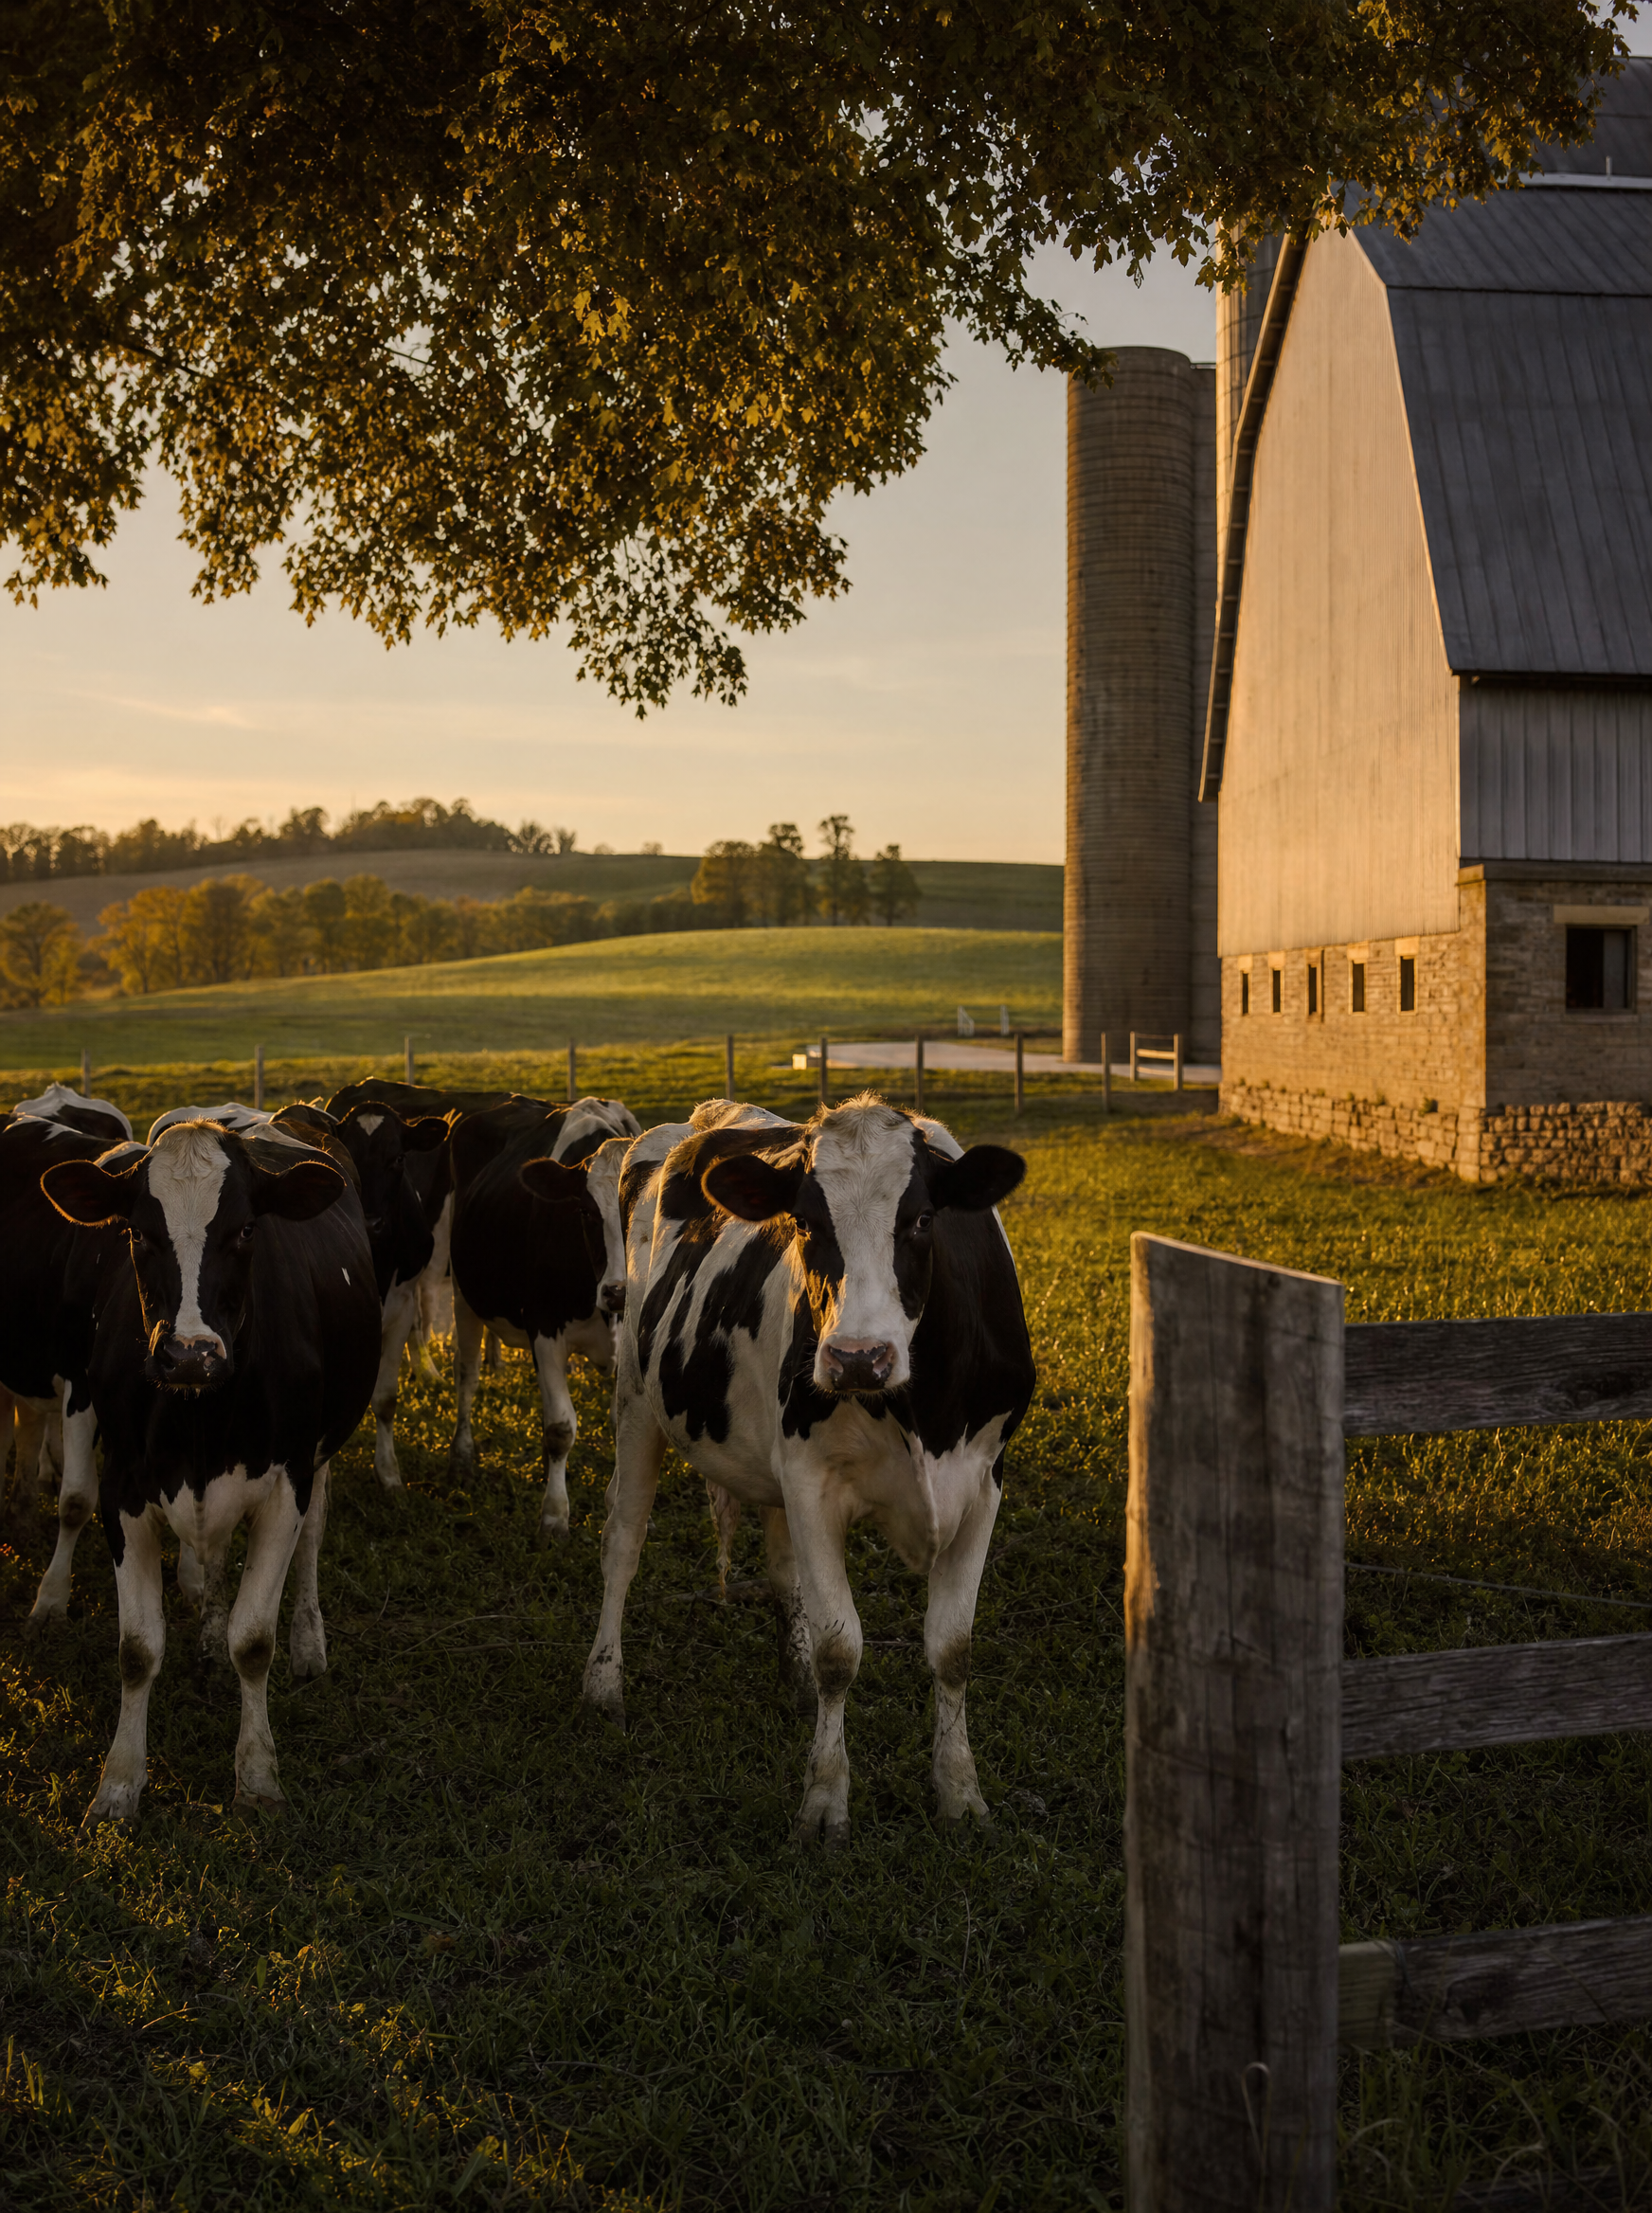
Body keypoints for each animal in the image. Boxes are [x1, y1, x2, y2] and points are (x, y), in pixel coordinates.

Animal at [41, 1117, 380, 1824]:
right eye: (137, 1232)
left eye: (247, 1229)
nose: (190, 1354)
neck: (199, 1417)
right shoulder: (123, 1488)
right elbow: (137, 1648)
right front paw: (119, 1782)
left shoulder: (287, 1481)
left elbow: (254, 1641)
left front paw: (257, 1774)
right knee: (216, 1555)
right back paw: (206, 1636)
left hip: (321, 1455)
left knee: (311, 1544)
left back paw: (308, 1642)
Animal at [446, 1094, 640, 1543]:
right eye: (585, 1212)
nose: (619, 1291)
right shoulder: (545, 1330)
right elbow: (560, 1428)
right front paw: (554, 1516)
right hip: (464, 1294)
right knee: (467, 1373)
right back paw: (462, 1456)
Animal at [586, 1093, 1034, 1843]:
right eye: (804, 1222)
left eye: (921, 1218)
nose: (857, 1359)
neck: (920, 1411)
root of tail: (704, 1116)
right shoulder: (813, 1482)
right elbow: (839, 1650)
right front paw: (825, 1801)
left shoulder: (982, 1484)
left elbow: (953, 1648)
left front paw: (960, 1792)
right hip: (636, 1394)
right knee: (623, 1539)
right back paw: (603, 1686)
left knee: (780, 1566)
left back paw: (790, 1676)